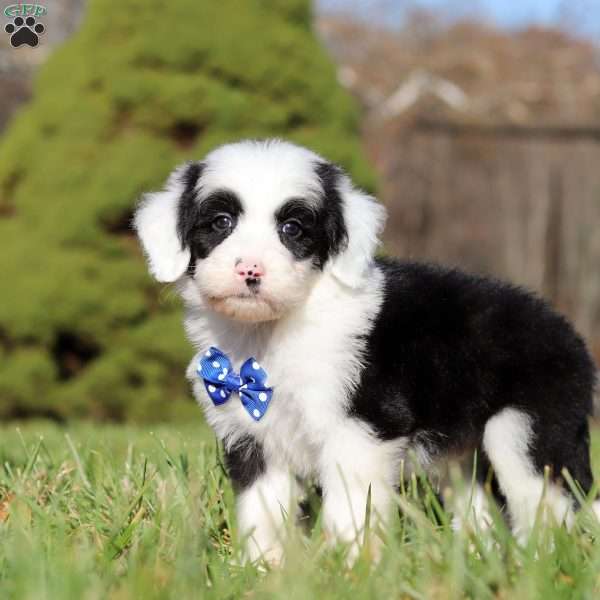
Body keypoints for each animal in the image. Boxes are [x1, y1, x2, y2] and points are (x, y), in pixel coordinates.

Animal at [134, 138, 596, 564]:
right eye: (221, 222)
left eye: (293, 229)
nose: (250, 270)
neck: (274, 334)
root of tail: (571, 338)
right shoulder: (253, 438)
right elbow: (262, 510)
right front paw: (263, 569)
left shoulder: (361, 429)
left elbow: (353, 507)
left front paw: (350, 566)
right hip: (464, 454)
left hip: (526, 431)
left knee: (550, 505)